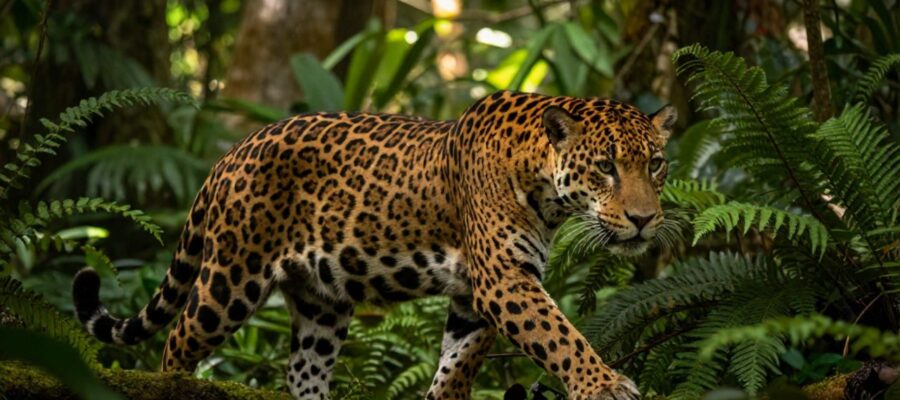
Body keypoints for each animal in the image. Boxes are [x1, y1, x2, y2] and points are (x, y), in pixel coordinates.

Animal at [72, 90, 676, 400]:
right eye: (605, 167)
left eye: (655, 163)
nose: (645, 220)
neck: (542, 183)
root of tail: (230, 154)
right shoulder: (503, 278)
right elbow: (559, 337)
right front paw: (602, 384)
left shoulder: (474, 295)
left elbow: (457, 364)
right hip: (230, 280)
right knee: (177, 342)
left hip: (320, 302)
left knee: (304, 368)